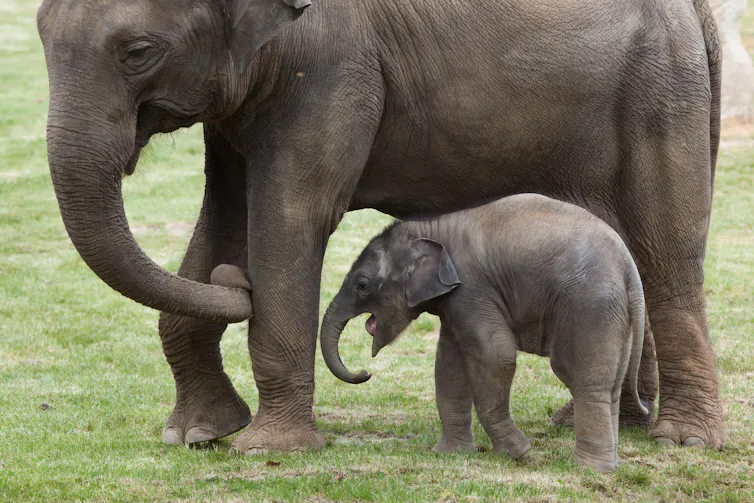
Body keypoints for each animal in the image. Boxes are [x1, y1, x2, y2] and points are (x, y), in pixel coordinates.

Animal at [319, 194, 649, 472]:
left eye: (362, 285)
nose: (365, 372)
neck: (431, 227)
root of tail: (629, 267)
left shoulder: (472, 288)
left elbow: (495, 355)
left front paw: (518, 453)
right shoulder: (455, 300)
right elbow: (449, 364)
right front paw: (449, 453)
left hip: (589, 304)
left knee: (581, 377)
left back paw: (588, 469)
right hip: (616, 316)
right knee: (612, 385)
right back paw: (609, 464)